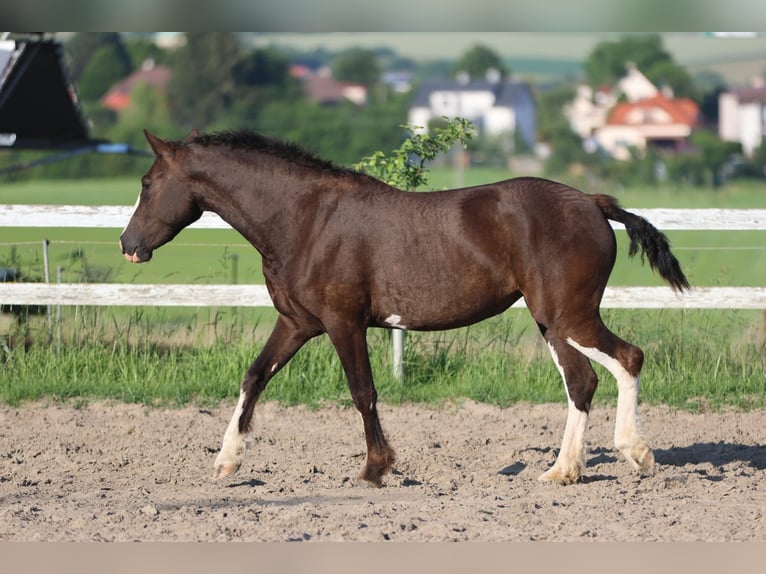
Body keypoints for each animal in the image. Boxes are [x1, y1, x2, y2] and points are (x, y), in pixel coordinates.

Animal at [118, 129, 688, 486]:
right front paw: (227, 462)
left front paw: (376, 469)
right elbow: (254, 377)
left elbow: (363, 393)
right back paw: (564, 470)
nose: (129, 244)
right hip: (551, 321)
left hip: (570, 316)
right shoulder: (298, 324)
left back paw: (632, 453)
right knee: (582, 381)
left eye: (146, 183)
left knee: (626, 359)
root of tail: (592, 203)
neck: (305, 219)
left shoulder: (343, 323)